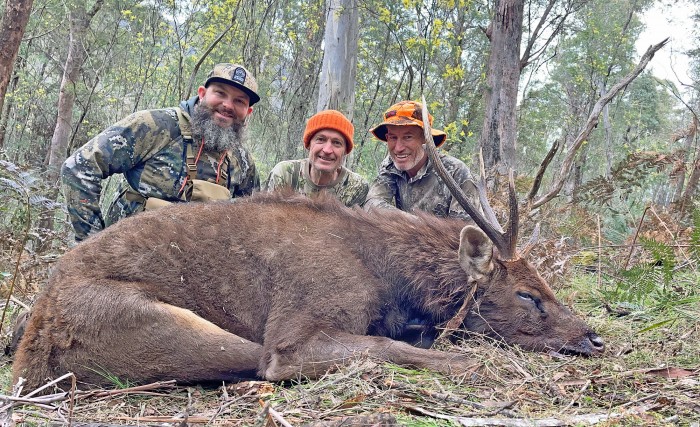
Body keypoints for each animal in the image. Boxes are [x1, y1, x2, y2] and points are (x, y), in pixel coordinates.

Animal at [12, 103, 604, 392]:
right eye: (528, 295)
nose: (593, 336)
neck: (391, 281)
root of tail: (28, 355)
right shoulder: (297, 330)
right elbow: (390, 347)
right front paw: (465, 362)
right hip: (177, 328)